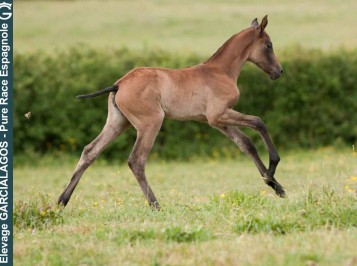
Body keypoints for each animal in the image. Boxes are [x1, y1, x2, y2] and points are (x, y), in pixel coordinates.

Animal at [59, 15, 286, 209]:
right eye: (269, 45)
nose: (279, 71)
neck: (220, 71)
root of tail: (119, 84)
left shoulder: (216, 121)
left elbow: (246, 144)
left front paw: (275, 186)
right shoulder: (219, 114)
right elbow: (258, 122)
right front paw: (273, 168)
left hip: (118, 122)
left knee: (90, 151)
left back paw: (62, 200)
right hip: (150, 123)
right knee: (136, 160)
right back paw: (156, 205)